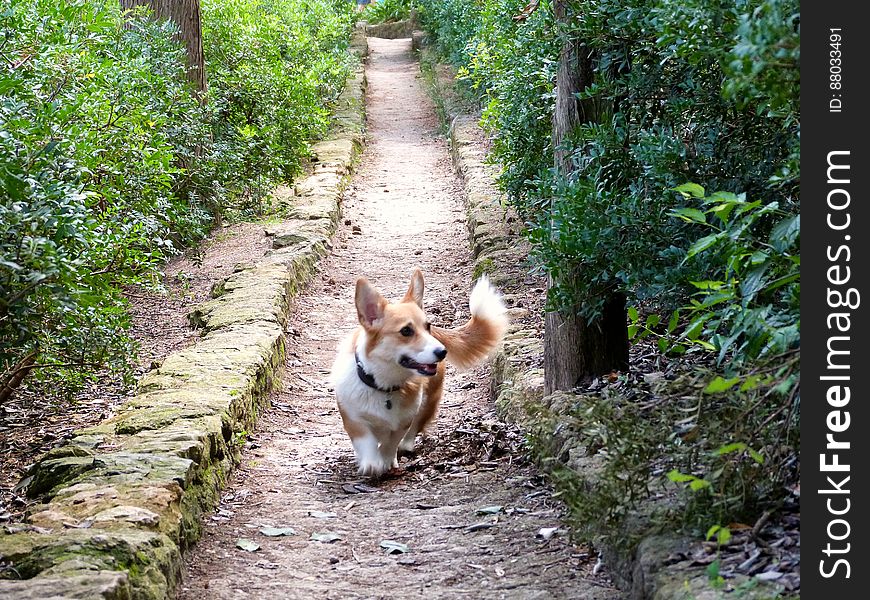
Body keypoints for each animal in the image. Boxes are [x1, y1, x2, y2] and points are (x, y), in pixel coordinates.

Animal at [328, 270, 508, 476]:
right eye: (406, 331)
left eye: (427, 326)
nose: (442, 351)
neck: (384, 385)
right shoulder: (354, 419)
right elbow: (366, 441)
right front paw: (372, 463)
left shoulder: (402, 422)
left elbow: (391, 443)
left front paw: (386, 460)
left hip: (429, 400)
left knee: (414, 429)